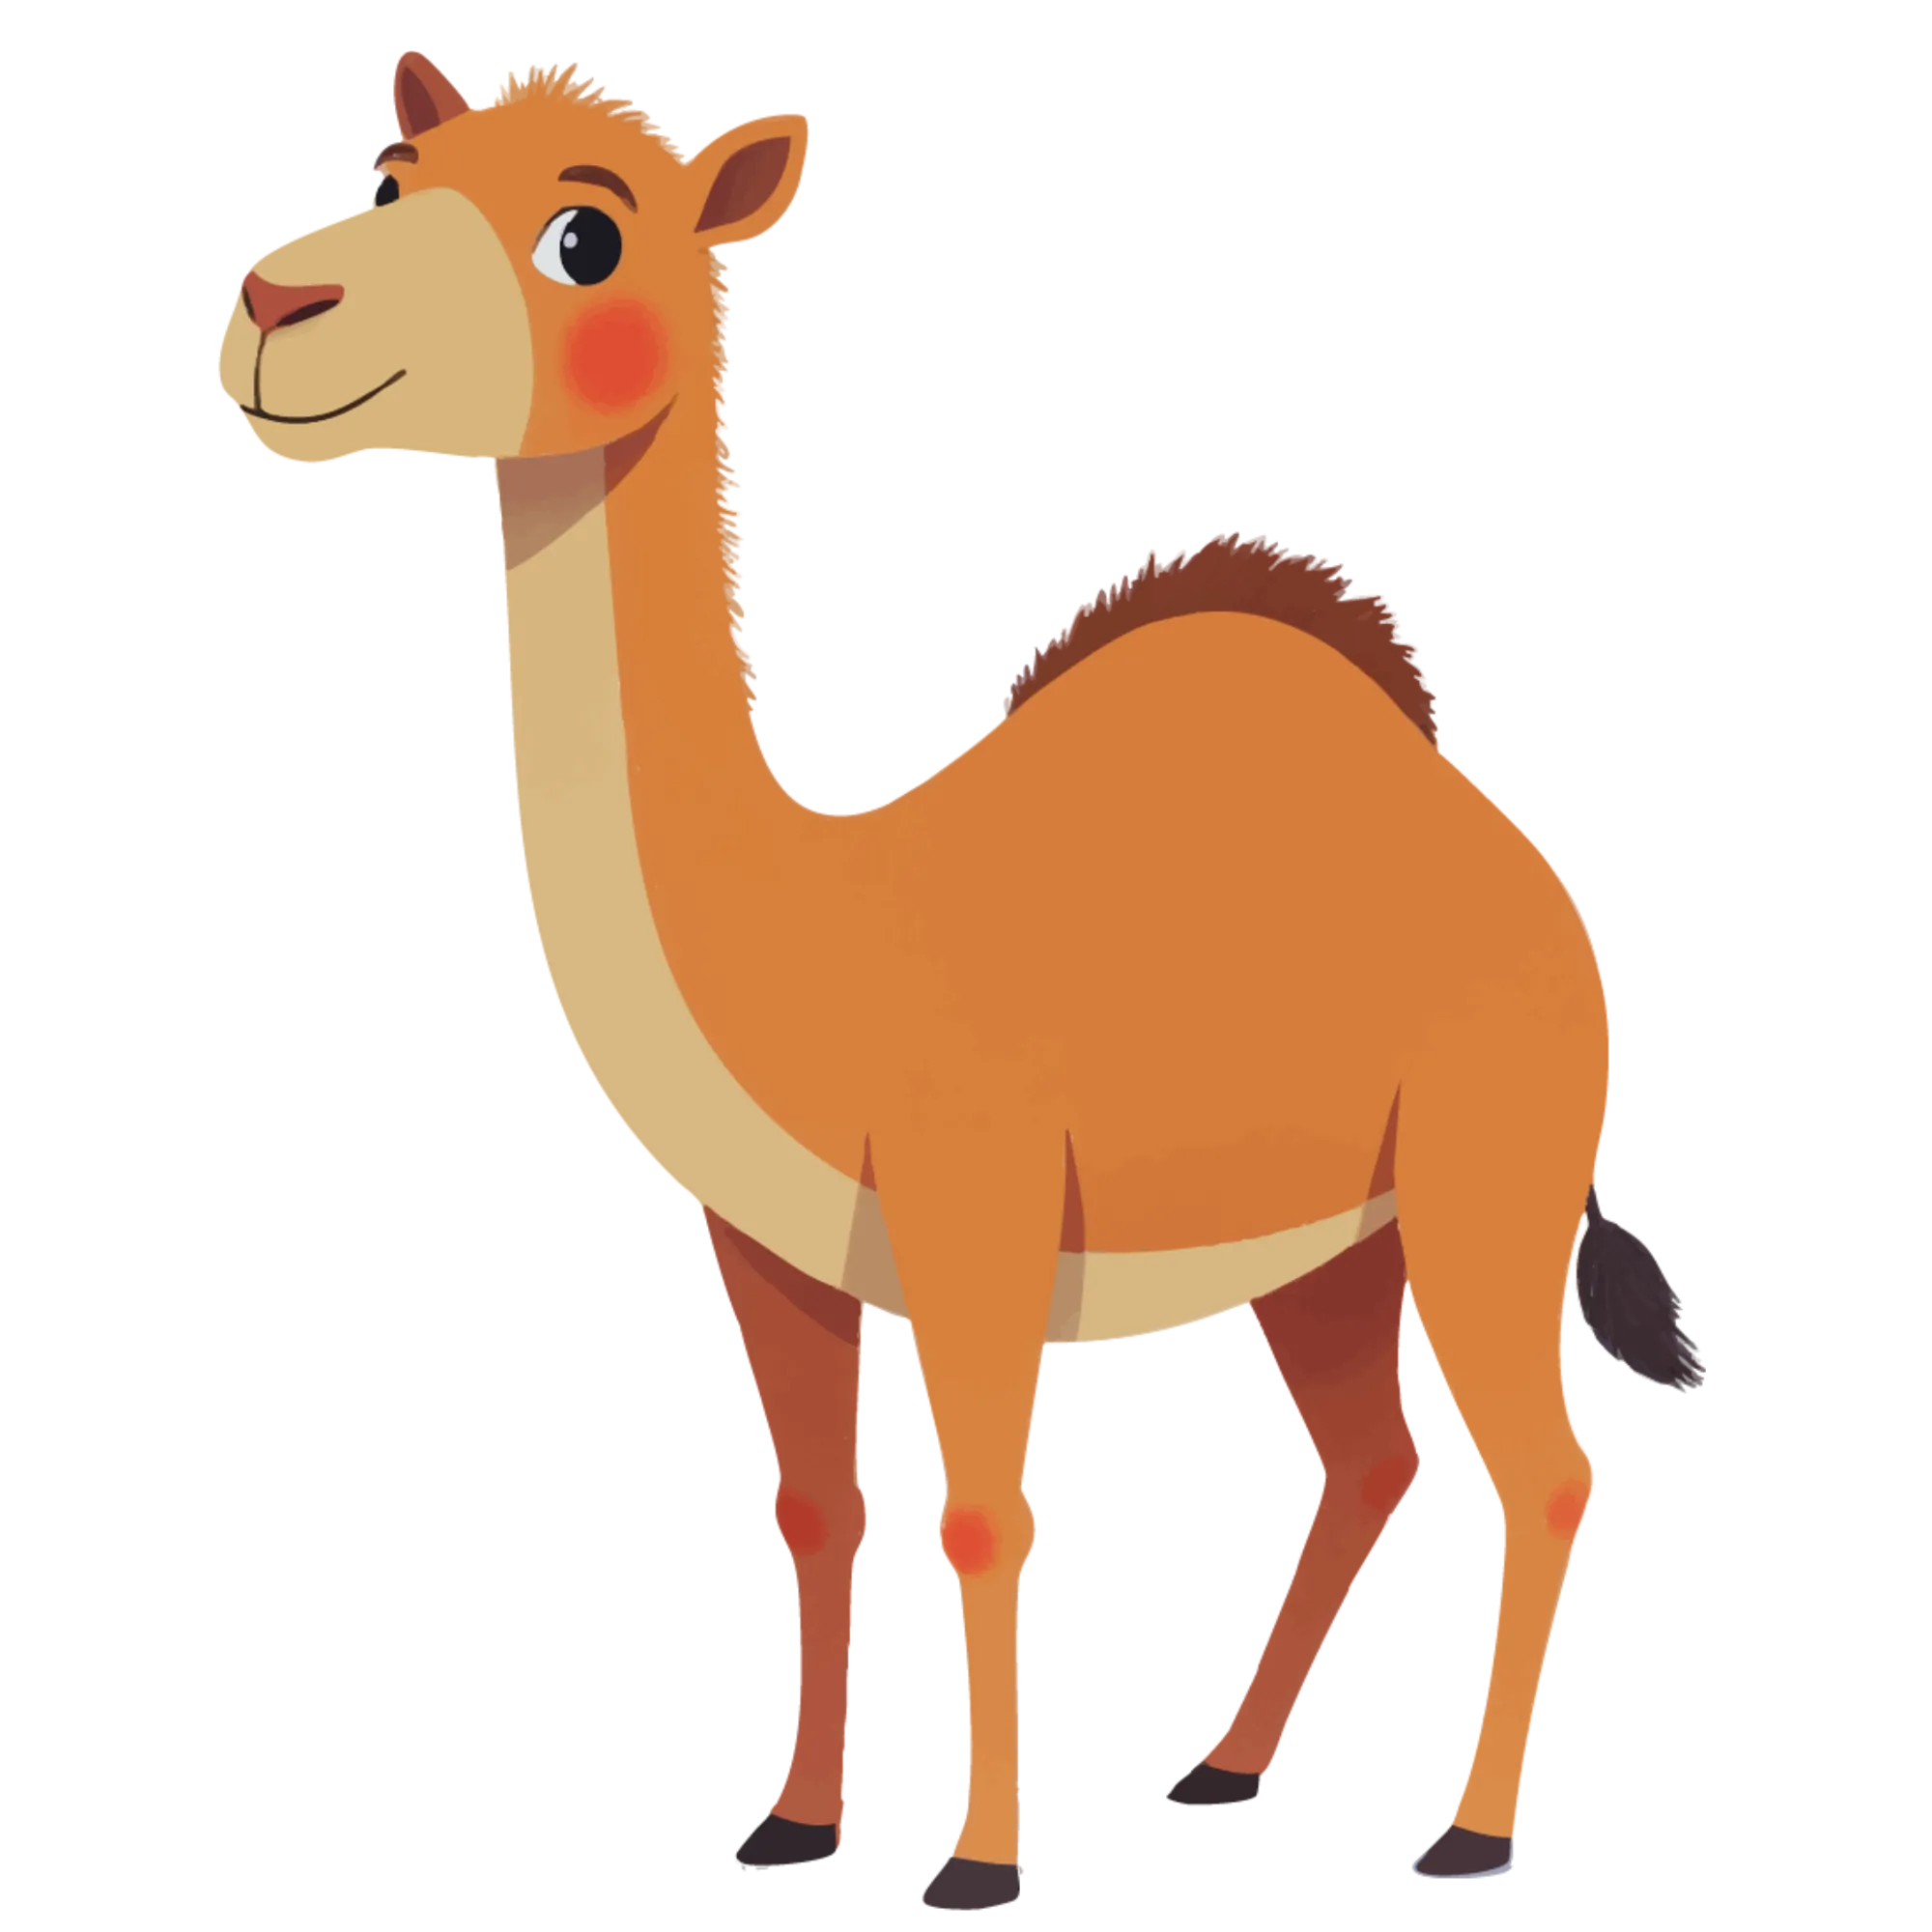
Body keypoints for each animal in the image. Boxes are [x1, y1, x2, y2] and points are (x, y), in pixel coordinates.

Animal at [215, 53, 1708, 1912]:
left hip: (1487, 1177)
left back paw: (1470, 1831)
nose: (280, 307)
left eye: (584, 233)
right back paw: (1226, 1765)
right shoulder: (768, 1248)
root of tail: (1513, 857)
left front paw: (978, 1866)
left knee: (1547, 1468)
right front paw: (793, 1823)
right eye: (396, 165)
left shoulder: (977, 1212)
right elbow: (817, 1513)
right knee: (1375, 1455)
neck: (819, 935)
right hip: (1334, 1237)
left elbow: (989, 1518)